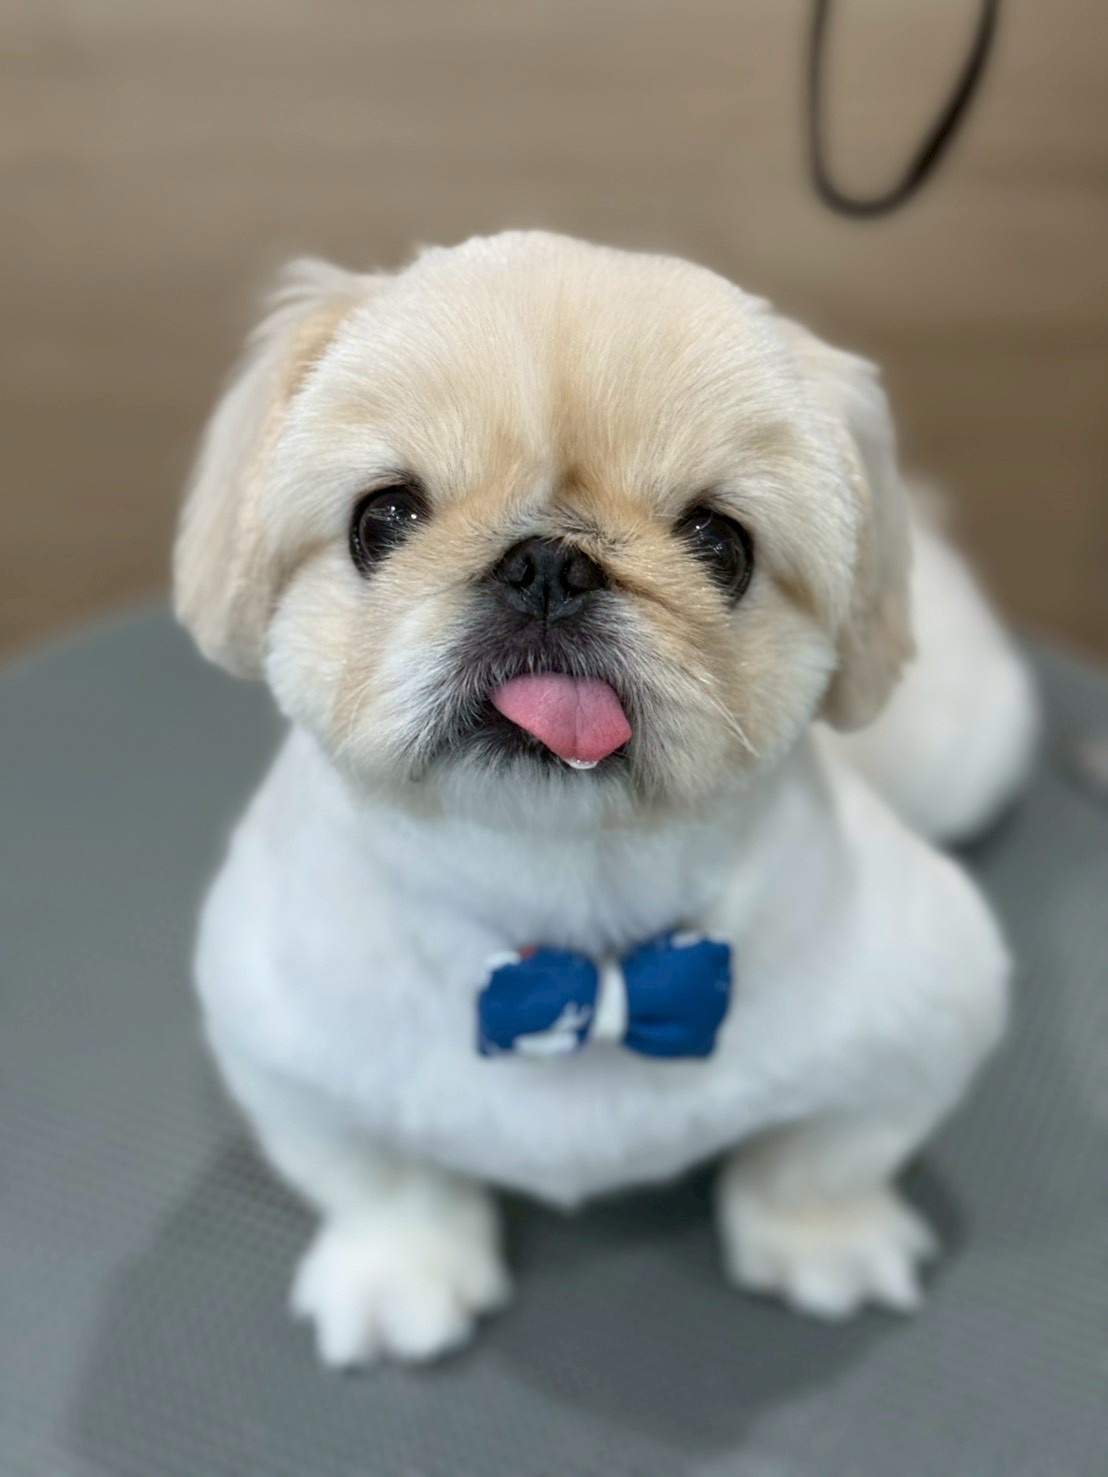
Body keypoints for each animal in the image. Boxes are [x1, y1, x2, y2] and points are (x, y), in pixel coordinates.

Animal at [175, 232, 1038, 1366]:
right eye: (383, 518)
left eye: (722, 544)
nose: (548, 560)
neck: (572, 939)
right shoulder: (280, 1053)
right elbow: (383, 1181)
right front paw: (400, 1271)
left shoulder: (932, 1016)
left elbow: (820, 1160)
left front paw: (825, 1244)